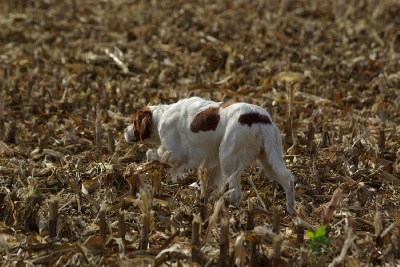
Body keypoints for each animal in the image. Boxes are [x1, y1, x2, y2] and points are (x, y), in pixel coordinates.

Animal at [125, 97, 296, 215]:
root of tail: (262, 118)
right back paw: (291, 210)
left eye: (134, 121)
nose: (124, 131)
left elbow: (151, 154)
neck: (161, 116)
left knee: (236, 193)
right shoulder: (213, 163)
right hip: (269, 159)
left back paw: (225, 207)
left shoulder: (175, 153)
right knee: (288, 180)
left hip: (229, 158)